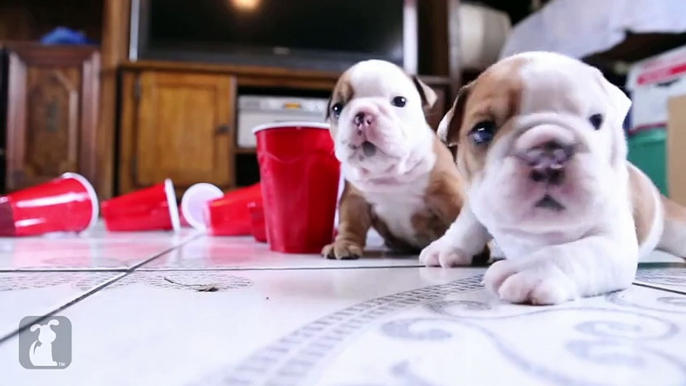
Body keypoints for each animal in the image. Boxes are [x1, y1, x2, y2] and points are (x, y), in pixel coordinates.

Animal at [322, 59, 472, 260]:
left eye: (400, 101)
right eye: (337, 108)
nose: (363, 114)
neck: (390, 173)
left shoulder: (448, 193)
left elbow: (460, 218)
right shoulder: (354, 200)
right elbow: (349, 224)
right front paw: (344, 244)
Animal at [422, 51, 686, 304]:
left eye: (596, 120)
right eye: (483, 131)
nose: (547, 155)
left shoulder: (612, 242)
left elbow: (572, 252)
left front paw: (533, 270)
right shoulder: (478, 199)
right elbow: (467, 223)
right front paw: (446, 247)